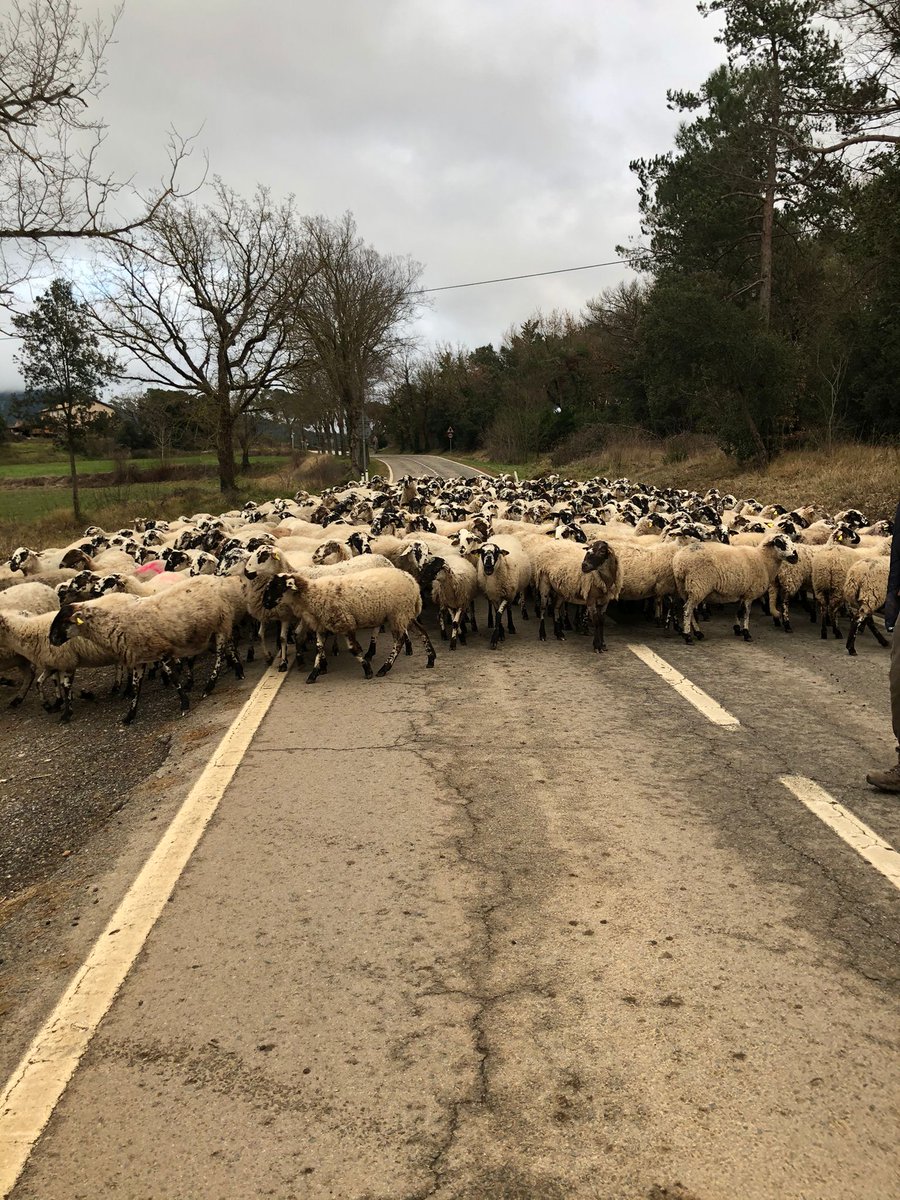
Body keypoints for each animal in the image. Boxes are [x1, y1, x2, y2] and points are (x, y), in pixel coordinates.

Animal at [260, 564, 436, 686]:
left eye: (278, 586)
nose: (265, 604)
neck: (310, 594)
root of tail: (413, 582)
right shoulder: (322, 625)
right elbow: (319, 649)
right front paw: (314, 674)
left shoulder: (344, 622)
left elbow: (353, 649)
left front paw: (367, 669)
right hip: (406, 613)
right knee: (422, 632)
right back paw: (431, 658)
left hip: (398, 613)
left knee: (399, 642)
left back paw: (384, 668)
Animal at [672, 535, 801, 648]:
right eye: (779, 543)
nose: (795, 557)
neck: (763, 560)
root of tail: (679, 562)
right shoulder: (750, 594)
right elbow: (746, 613)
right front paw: (747, 633)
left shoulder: (744, 593)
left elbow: (739, 612)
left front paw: (738, 629)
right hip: (698, 586)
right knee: (687, 610)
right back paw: (688, 637)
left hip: (685, 588)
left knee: (691, 611)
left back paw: (698, 633)